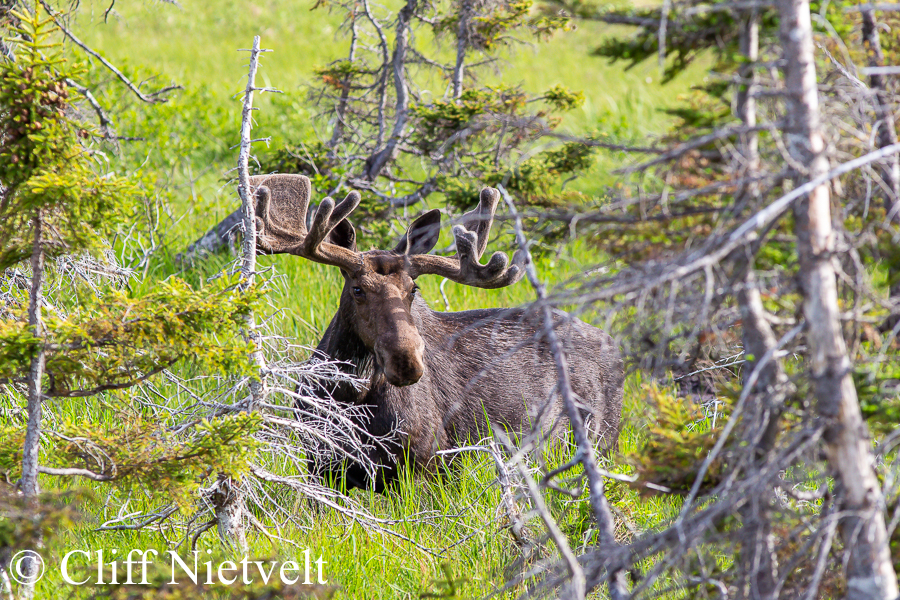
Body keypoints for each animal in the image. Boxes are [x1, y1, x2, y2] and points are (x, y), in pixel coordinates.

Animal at [250, 173, 624, 492]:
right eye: (358, 289)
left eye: (413, 289)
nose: (406, 361)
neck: (348, 396)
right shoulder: (320, 465)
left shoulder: (424, 465)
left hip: (601, 440)